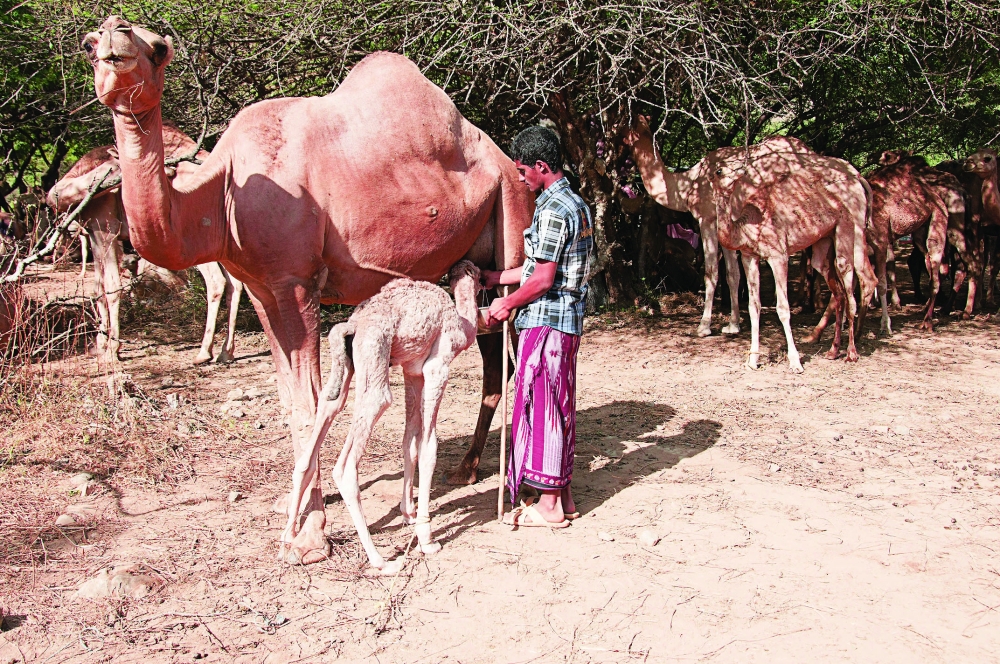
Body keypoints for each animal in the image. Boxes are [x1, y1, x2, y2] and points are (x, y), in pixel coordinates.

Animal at [47, 127, 245, 364]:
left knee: (216, 280)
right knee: (235, 282)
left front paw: (112, 350)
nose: (169, 170)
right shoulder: (94, 232)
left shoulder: (106, 228)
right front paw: (100, 344)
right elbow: (98, 287)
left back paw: (204, 352)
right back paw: (226, 351)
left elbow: (111, 286)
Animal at [281, 261, 480, 570]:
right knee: (350, 457)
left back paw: (288, 537)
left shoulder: (412, 370)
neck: (463, 323)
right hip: (374, 358)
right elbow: (428, 448)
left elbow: (409, 442)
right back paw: (381, 561)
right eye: (480, 276)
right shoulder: (438, 366)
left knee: (327, 409)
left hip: (350, 363)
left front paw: (408, 514)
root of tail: (352, 325)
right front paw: (427, 539)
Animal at [709, 144, 877, 372]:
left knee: (851, 282)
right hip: (824, 240)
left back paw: (851, 353)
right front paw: (752, 361)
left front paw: (796, 362)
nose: (741, 169)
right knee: (837, 287)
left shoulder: (778, 255)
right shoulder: (749, 256)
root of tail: (859, 177)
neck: (747, 226)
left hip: (847, 227)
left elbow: (783, 308)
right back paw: (833, 351)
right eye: (719, 171)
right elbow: (754, 306)